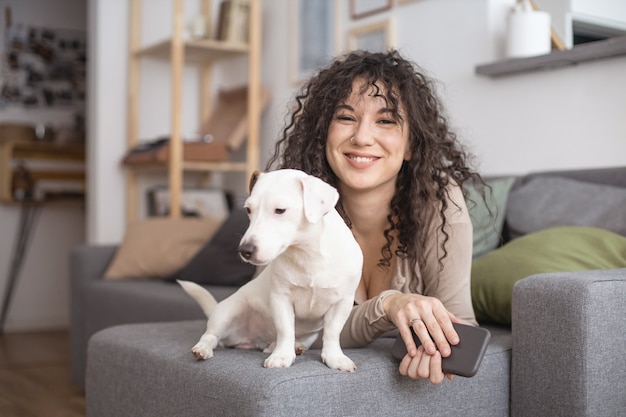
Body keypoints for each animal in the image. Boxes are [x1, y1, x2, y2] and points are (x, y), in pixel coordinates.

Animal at [177, 169, 360, 370]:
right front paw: (282, 356)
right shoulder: (281, 298)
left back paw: (289, 346)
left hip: (309, 336)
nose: (245, 250)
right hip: (227, 312)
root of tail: (253, 340)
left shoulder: (343, 302)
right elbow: (285, 330)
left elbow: (332, 332)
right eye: (248, 210)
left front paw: (335, 357)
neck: (307, 254)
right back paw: (203, 349)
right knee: (211, 336)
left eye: (280, 210)